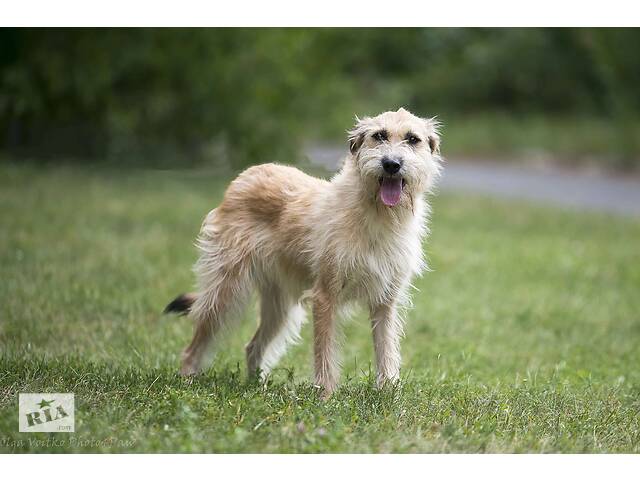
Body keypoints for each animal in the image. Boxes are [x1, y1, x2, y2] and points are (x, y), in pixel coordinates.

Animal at [164, 109, 440, 398]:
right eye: (379, 136)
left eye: (413, 139)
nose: (391, 164)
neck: (378, 213)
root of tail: (244, 176)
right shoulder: (325, 296)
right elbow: (325, 352)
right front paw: (325, 395)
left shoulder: (385, 302)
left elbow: (386, 348)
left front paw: (387, 393)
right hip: (225, 291)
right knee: (196, 342)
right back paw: (187, 379)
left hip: (280, 307)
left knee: (253, 347)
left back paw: (257, 388)